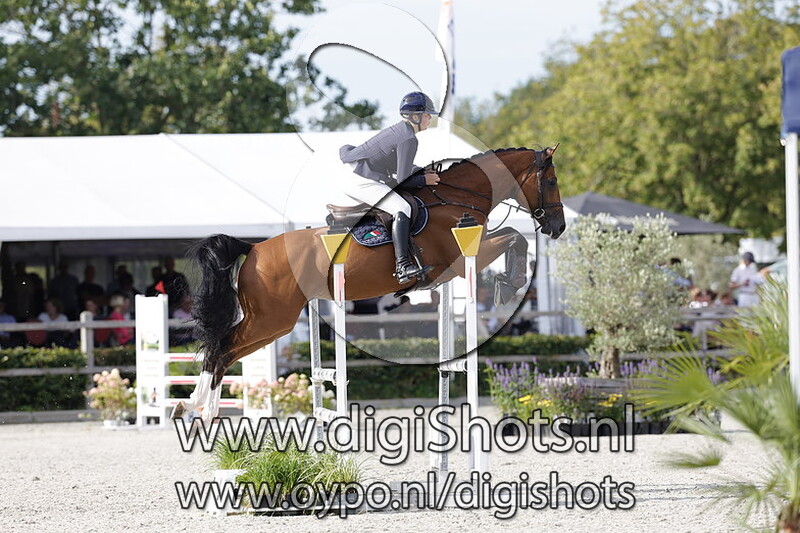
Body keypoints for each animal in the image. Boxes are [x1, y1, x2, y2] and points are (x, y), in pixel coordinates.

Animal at [173, 145, 566, 424]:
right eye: (550, 182)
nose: (558, 227)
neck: (458, 196)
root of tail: (254, 248)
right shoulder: (465, 256)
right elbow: (516, 236)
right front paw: (510, 282)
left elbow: (514, 235)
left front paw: (508, 280)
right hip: (271, 318)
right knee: (222, 347)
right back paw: (203, 410)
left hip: (272, 324)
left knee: (224, 351)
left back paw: (194, 408)